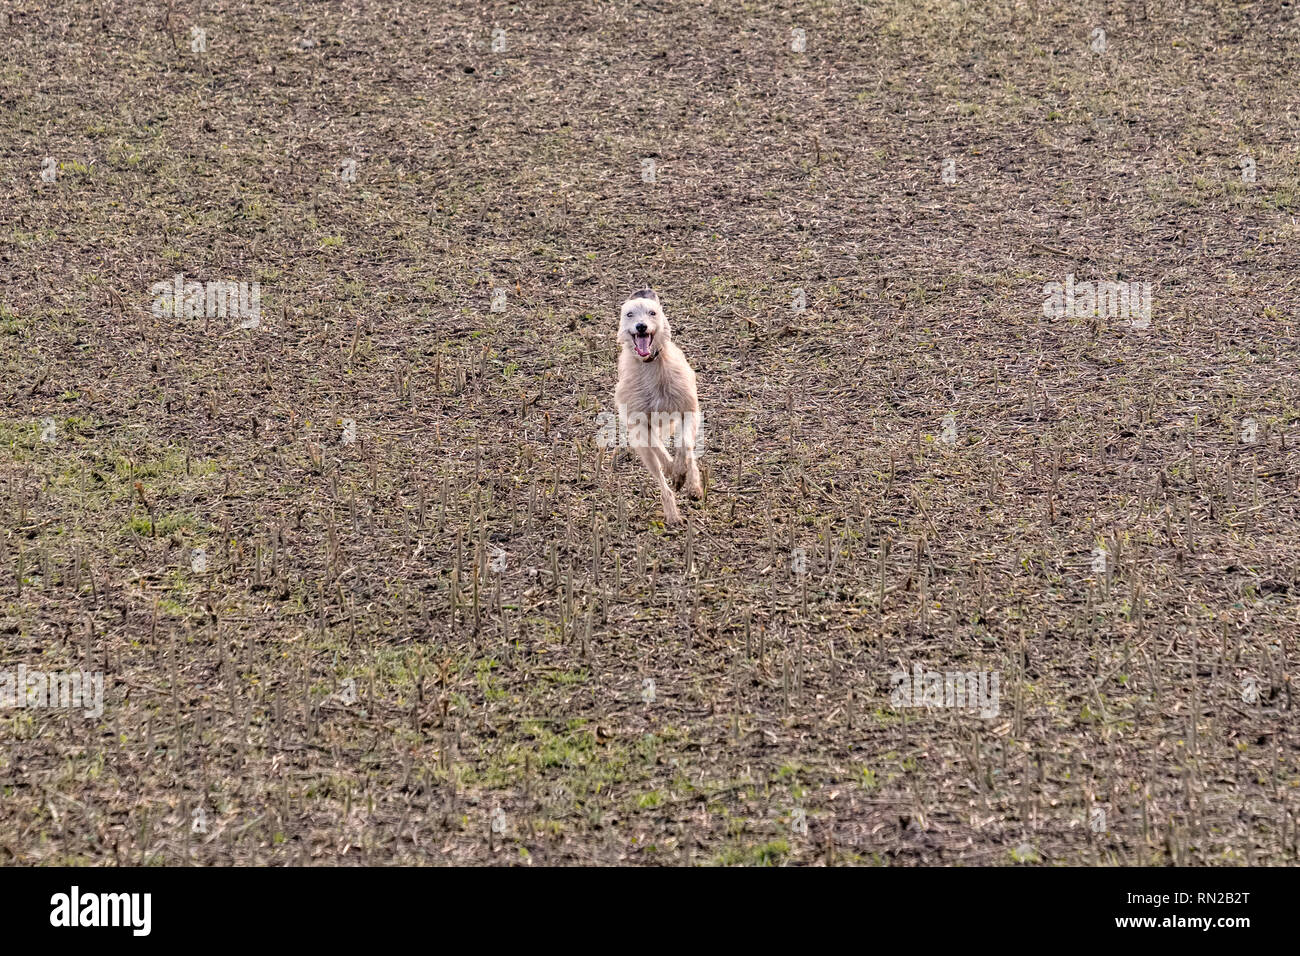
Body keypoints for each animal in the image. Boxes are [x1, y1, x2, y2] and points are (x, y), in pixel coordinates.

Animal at [616, 287, 707, 528]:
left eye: (652, 312)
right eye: (629, 314)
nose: (641, 326)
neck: (650, 366)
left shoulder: (688, 411)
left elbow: (685, 446)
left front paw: (684, 475)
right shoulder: (641, 426)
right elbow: (661, 452)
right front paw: (674, 471)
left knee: (688, 453)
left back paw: (693, 485)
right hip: (643, 451)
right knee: (660, 478)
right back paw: (672, 514)